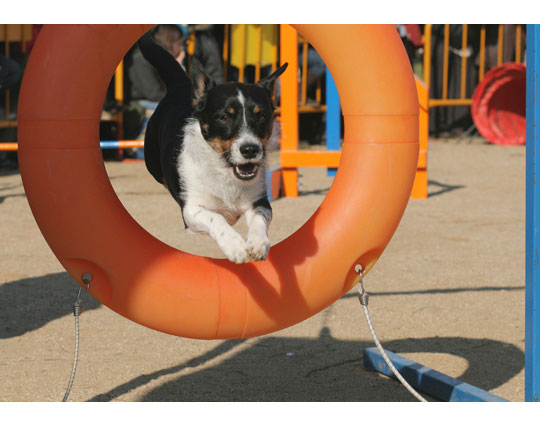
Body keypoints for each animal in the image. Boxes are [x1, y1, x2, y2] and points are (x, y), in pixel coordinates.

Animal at [138, 32, 288, 264]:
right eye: (225, 117)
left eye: (261, 115)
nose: (250, 150)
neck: (225, 171)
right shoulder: (191, 211)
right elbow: (215, 218)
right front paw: (235, 246)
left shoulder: (260, 201)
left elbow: (259, 219)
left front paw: (257, 243)